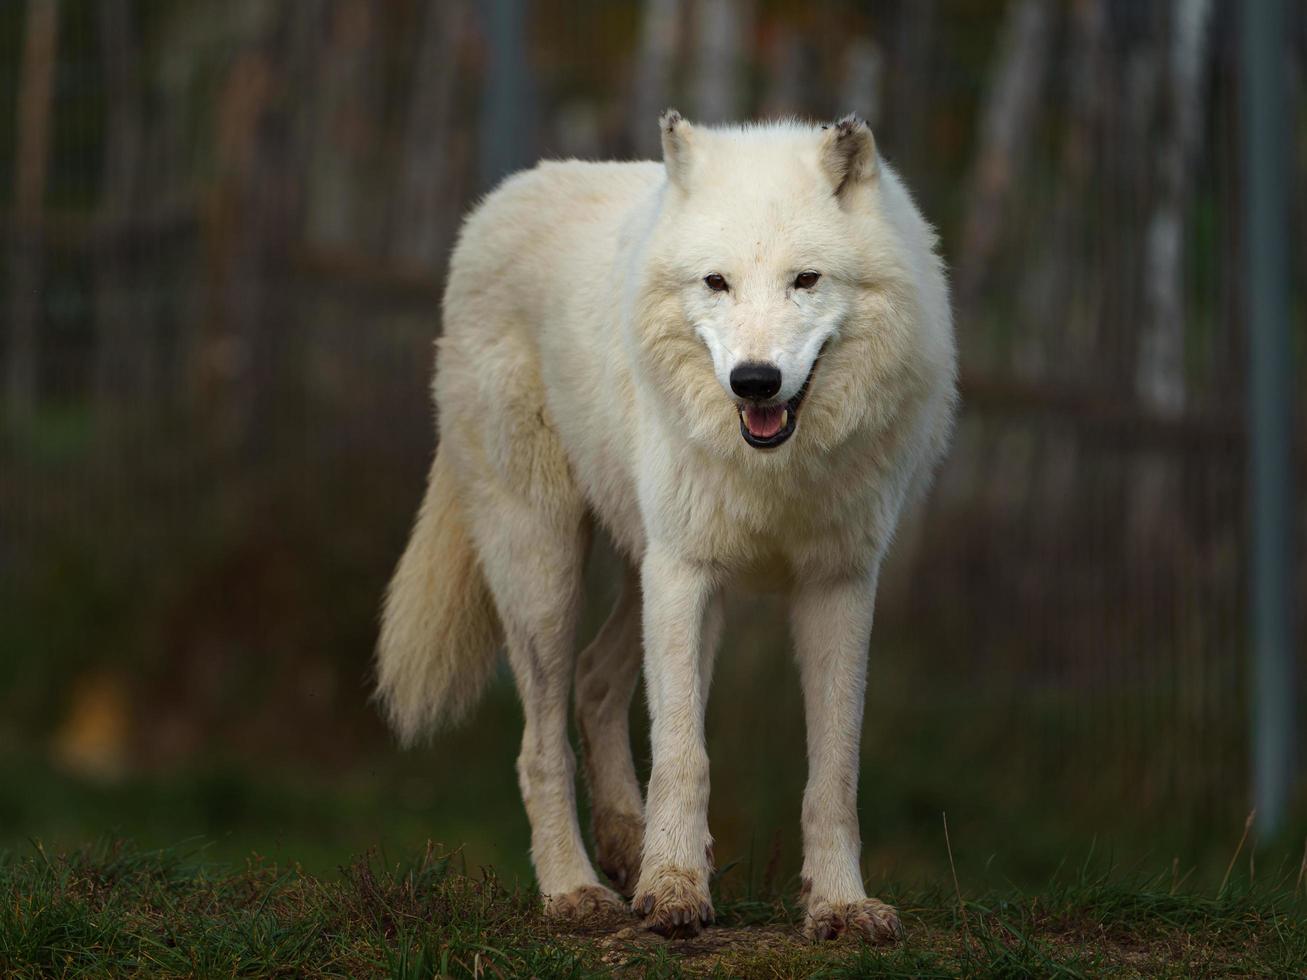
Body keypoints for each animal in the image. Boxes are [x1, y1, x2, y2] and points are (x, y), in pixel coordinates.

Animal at [373, 111, 956, 940]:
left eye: (806, 280)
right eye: (715, 282)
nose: (754, 381)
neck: (775, 468)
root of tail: (499, 199)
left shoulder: (836, 580)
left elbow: (834, 767)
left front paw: (839, 904)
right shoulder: (684, 571)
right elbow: (684, 753)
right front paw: (675, 888)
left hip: (648, 572)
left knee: (594, 678)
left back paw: (625, 842)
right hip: (546, 566)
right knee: (540, 744)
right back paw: (574, 889)